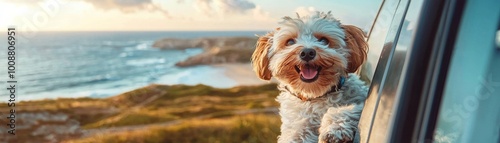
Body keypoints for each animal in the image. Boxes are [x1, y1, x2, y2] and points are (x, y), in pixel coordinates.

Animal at [252, 11, 370, 143]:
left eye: (324, 40)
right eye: (290, 42)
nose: (307, 53)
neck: (315, 95)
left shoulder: (362, 102)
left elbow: (345, 109)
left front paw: (336, 129)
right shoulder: (297, 124)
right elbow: (296, 133)